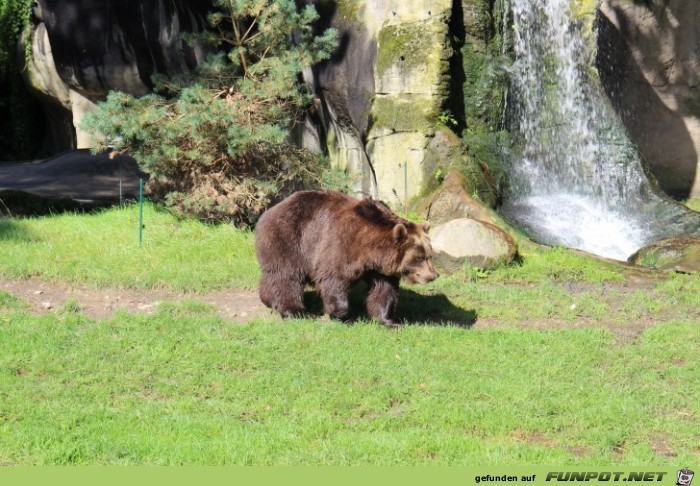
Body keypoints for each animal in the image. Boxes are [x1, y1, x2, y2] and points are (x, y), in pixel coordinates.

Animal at [256, 189, 438, 326]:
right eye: (419, 258)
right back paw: (295, 311)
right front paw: (342, 314)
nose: (433, 275)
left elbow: (384, 290)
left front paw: (389, 321)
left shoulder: (380, 269)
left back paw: (268, 300)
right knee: (287, 275)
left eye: (430, 255)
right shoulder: (341, 244)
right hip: (289, 238)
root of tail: (272, 209)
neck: (371, 249)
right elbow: (333, 277)